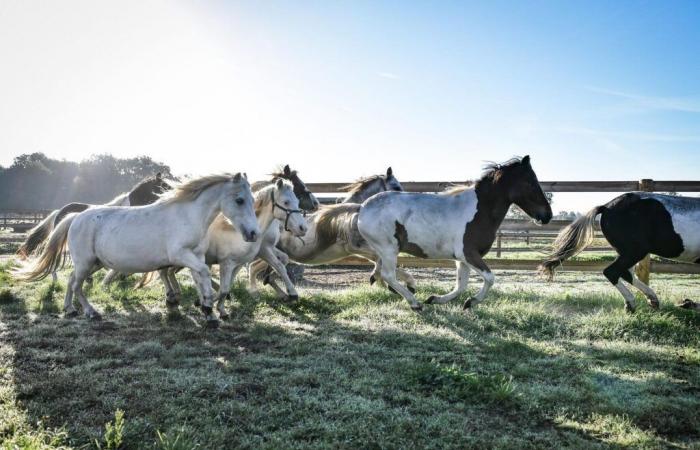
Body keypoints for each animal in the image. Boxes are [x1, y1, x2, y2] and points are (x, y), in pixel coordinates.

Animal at [246, 168, 416, 296]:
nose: (315, 203)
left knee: (260, 271)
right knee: (261, 271)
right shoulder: (358, 248)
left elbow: (383, 263)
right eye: (396, 186)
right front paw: (404, 284)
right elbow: (382, 263)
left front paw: (388, 283)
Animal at [360, 157, 552, 310]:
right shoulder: (468, 254)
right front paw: (471, 302)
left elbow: (461, 285)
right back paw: (415, 303)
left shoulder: (462, 259)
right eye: (531, 183)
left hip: (384, 251)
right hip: (389, 249)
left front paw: (435, 299)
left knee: (379, 272)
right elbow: (490, 278)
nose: (547, 216)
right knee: (388, 275)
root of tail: (363, 208)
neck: (480, 210)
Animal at [540, 192, 700, 312]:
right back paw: (632, 304)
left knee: (626, 273)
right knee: (613, 272)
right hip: (634, 251)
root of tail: (607, 206)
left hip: (627, 252)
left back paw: (651, 301)